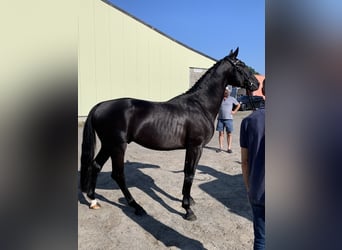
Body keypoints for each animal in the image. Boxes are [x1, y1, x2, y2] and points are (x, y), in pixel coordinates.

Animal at [79, 47, 256, 221]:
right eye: (241, 65)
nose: (256, 83)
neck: (200, 105)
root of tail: (100, 105)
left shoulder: (192, 148)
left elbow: (187, 171)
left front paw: (188, 200)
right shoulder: (195, 147)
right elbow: (190, 174)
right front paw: (187, 209)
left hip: (108, 145)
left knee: (96, 166)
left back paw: (93, 200)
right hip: (117, 146)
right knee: (118, 174)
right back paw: (136, 207)